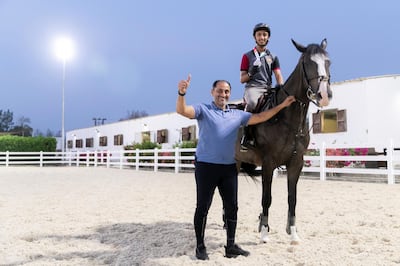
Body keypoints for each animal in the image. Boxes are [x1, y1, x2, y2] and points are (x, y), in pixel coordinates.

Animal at [234, 38, 332, 244]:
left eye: (328, 62)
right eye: (308, 63)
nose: (324, 95)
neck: (286, 117)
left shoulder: (296, 162)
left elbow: (292, 198)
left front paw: (293, 233)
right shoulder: (268, 163)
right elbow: (267, 198)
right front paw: (264, 232)